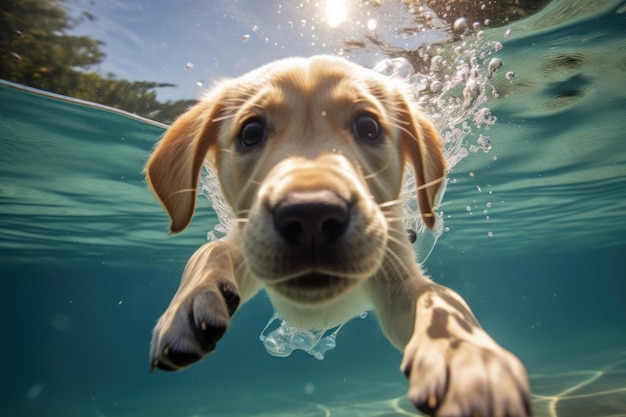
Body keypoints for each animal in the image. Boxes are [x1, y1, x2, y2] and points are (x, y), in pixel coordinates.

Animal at [144, 55, 528, 416]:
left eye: (368, 127)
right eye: (250, 133)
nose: (311, 214)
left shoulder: (396, 276)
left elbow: (440, 299)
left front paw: (467, 359)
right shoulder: (244, 242)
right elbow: (209, 252)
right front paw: (187, 305)